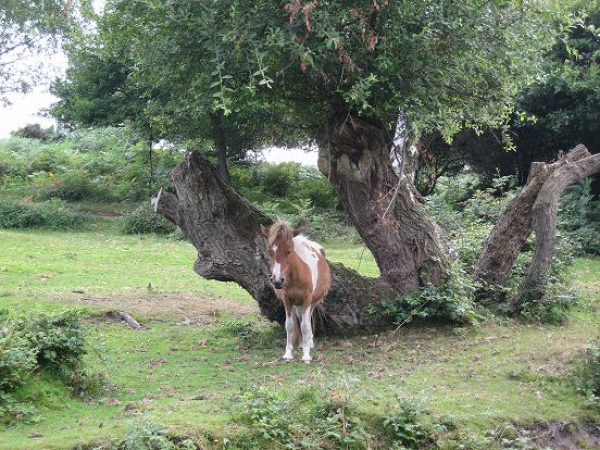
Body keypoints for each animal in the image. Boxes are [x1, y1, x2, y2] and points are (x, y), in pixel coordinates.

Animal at [260, 220, 330, 364]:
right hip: (297, 304)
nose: (277, 281)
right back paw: (303, 343)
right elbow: (290, 325)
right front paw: (288, 353)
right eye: (270, 251)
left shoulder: (307, 299)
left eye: (288, 251)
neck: (296, 275)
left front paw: (306, 355)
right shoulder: (287, 300)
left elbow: (305, 325)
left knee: (307, 319)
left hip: (313, 302)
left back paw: (309, 342)